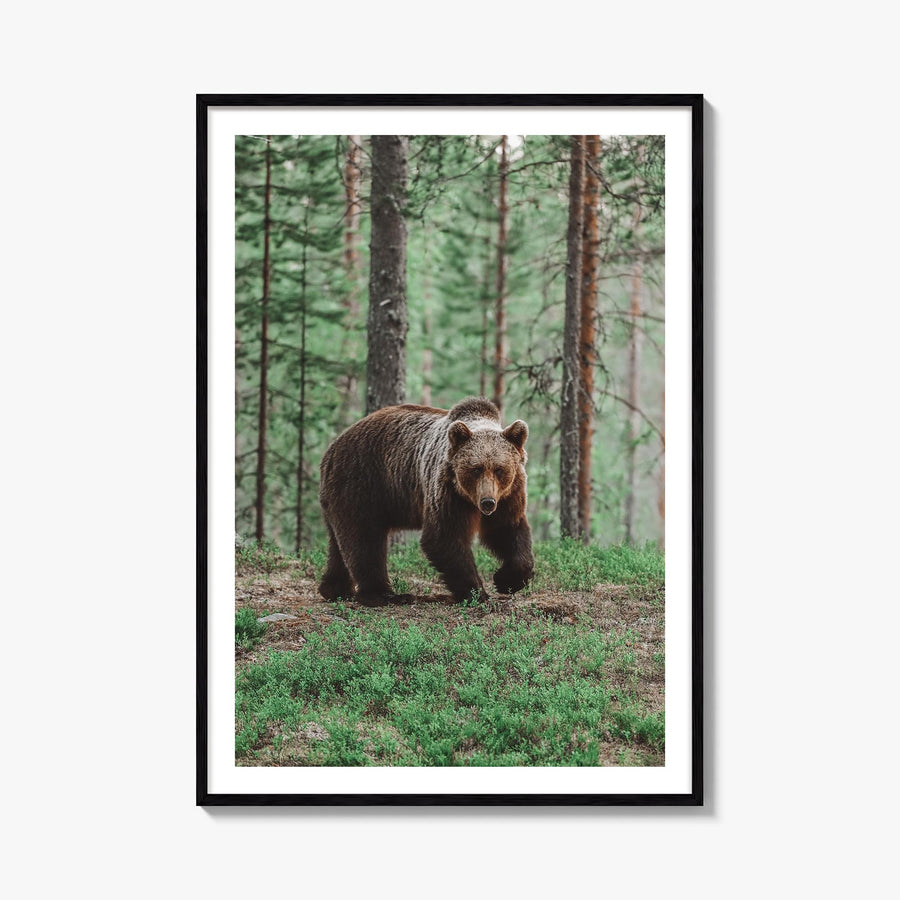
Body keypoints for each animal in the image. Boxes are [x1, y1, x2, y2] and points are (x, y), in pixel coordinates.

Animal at [318, 397, 535, 606]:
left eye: (499, 469)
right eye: (476, 469)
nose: (487, 502)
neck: (469, 499)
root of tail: (331, 449)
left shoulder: (508, 495)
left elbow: (507, 530)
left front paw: (506, 580)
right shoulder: (447, 492)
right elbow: (444, 537)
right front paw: (476, 593)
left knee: (339, 544)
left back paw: (334, 590)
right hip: (362, 484)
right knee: (364, 540)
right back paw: (383, 594)